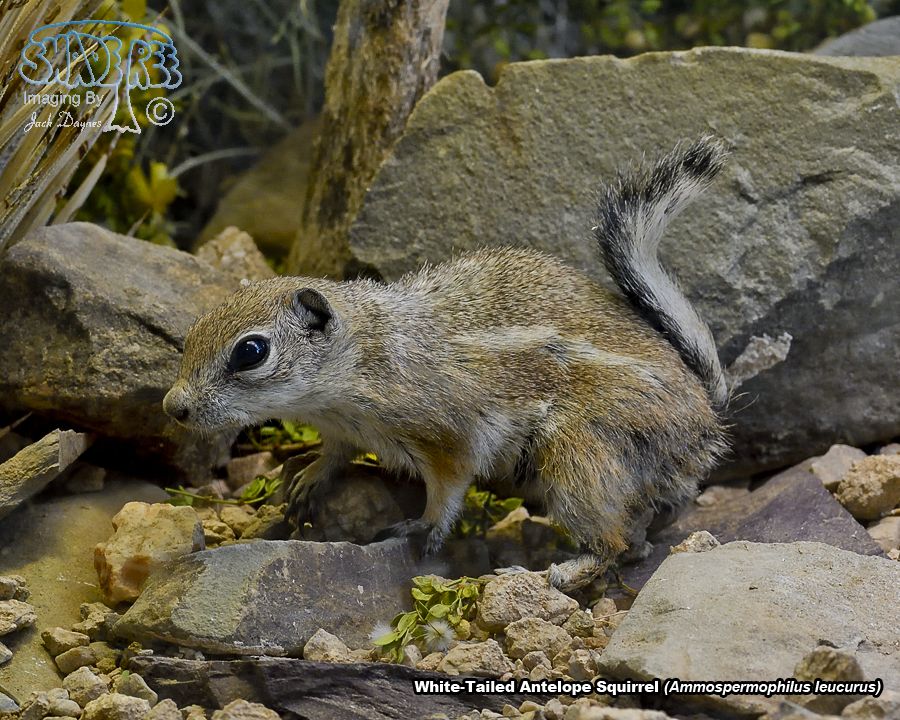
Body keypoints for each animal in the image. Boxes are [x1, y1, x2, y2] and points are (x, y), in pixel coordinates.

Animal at [164, 137, 729, 591]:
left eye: (250, 352)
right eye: (194, 331)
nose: (174, 408)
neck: (359, 361)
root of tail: (706, 419)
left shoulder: (450, 437)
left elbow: (449, 489)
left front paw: (424, 527)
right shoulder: (343, 429)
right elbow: (337, 453)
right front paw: (311, 477)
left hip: (578, 458)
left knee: (613, 544)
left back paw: (555, 573)